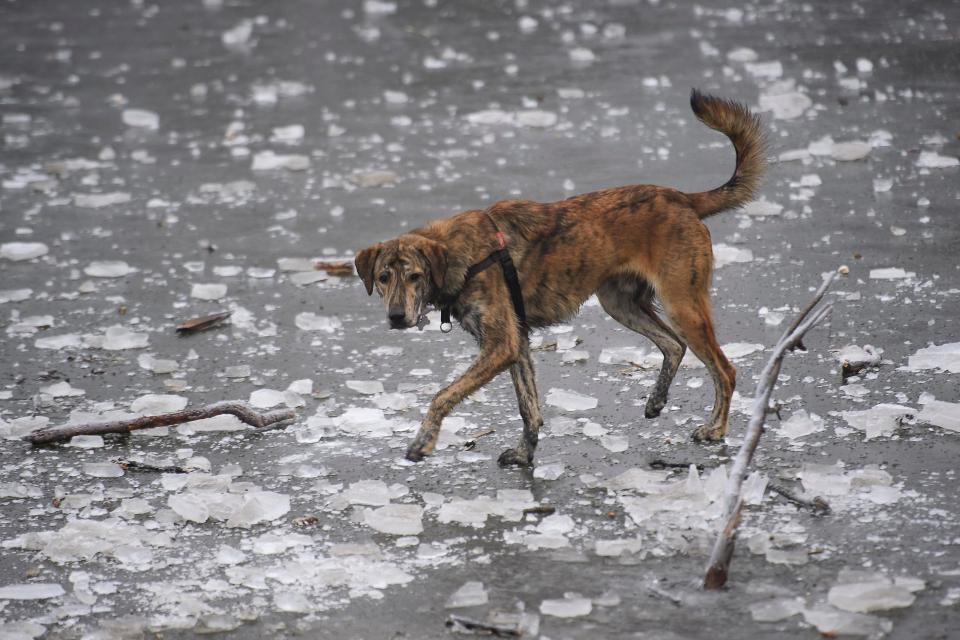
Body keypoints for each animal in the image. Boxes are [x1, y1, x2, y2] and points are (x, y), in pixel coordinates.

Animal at [356, 90, 768, 468]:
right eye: (383, 277)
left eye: (415, 276)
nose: (396, 318)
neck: (459, 252)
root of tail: (682, 198)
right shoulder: (517, 345)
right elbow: (529, 405)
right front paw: (525, 452)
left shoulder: (500, 345)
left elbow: (443, 394)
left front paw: (422, 442)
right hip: (620, 303)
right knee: (673, 344)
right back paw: (656, 401)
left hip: (682, 303)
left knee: (724, 369)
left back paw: (715, 429)